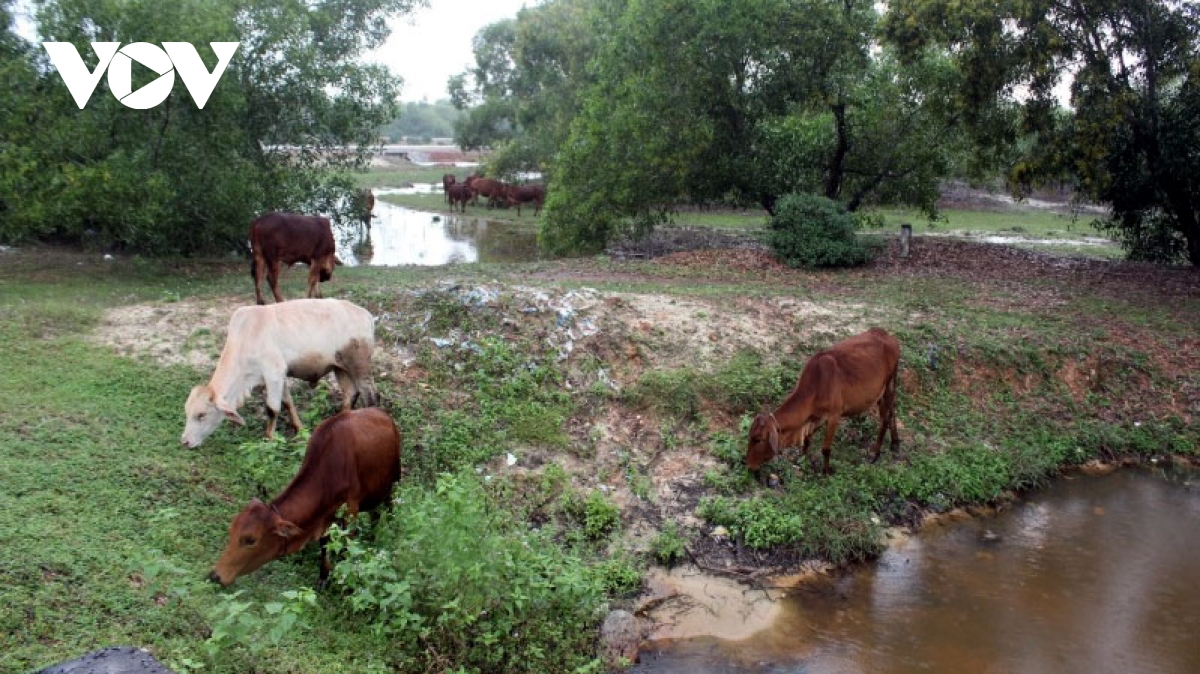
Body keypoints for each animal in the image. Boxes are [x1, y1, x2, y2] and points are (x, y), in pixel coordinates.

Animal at [180, 297, 376, 446]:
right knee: (350, 394)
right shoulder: (279, 376)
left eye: (201, 415)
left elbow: (272, 408)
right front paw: (299, 429)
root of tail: (365, 314)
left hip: (360, 367)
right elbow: (288, 402)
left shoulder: (274, 372)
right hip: (340, 367)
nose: (185, 442)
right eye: (187, 412)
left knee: (370, 396)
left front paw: (269, 438)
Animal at [208, 402, 400, 582]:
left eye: (250, 540)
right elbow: (324, 544)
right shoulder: (325, 518)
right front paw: (324, 575)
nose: (215, 575)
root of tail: (383, 414)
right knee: (375, 515)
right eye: (231, 531)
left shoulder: (350, 511)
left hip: (393, 483)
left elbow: (347, 547)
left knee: (389, 507)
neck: (328, 472)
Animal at [739, 326, 902, 472]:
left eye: (758, 439)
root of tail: (887, 335)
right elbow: (807, 439)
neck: (817, 384)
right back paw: (895, 443)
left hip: (890, 383)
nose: (749, 466)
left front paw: (826, 471)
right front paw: (802, 459)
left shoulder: (834, 415)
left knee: (885, 418)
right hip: (882, 391)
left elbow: (825, 449)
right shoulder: (814, 417)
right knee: (892, 412)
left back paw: (875, 454)